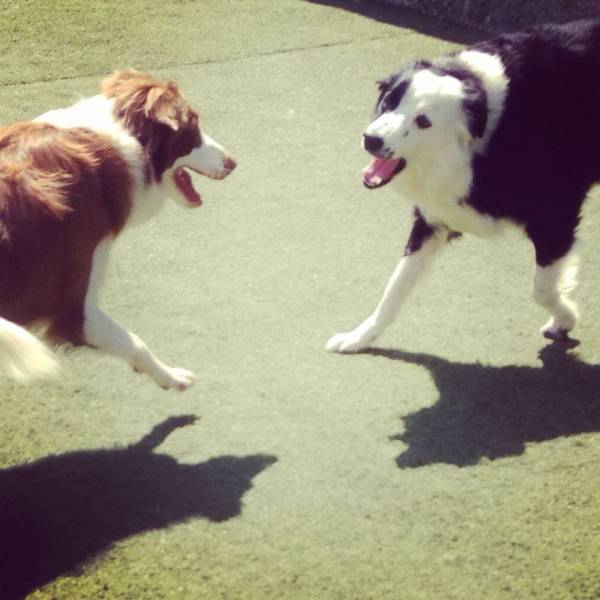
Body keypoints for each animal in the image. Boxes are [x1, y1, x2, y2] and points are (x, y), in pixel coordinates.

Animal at [328, 19, 600, 352]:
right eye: (390, 101)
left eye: (423, 121)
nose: (372, 140)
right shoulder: (435, 219)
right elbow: (395, 288)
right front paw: (358, 337)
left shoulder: (555, 216)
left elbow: (542, 288)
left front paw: (565, 318)